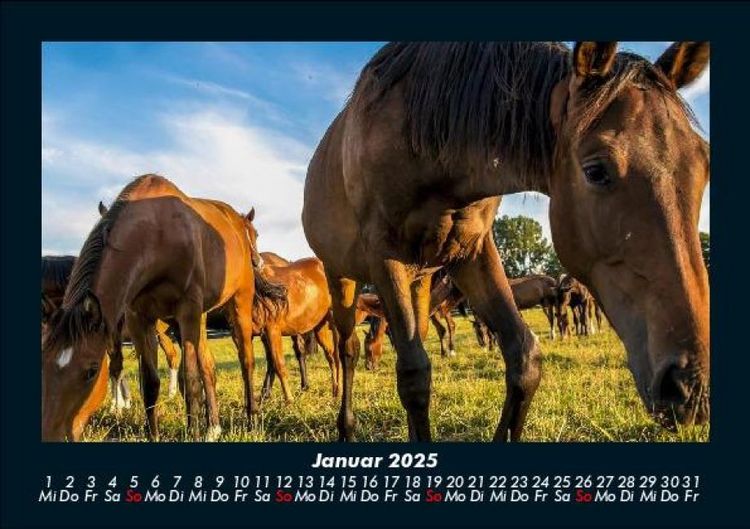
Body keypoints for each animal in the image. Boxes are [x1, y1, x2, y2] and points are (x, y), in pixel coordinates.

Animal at [42, 174, 278, 441]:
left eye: (91, 371)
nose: (51, 434)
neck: (157, 236)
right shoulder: (139, 319)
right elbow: (150, 383)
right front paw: (154, 434)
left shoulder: (187, 311)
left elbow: (190, 380)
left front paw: (192, 433)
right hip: (198, 318)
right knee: (208, 366)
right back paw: (213, 427)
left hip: (238, 304)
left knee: (246, 361)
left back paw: (252, 419)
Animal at [303, 42, 710, 441]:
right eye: (596, 171)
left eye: (704, 164)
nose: (690, 387)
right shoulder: (385, 257)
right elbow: (414, 375)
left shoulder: (472, 252)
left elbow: (524, 357)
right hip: (342, 276)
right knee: (348, 348)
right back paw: (346, 429)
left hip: (419, 279)